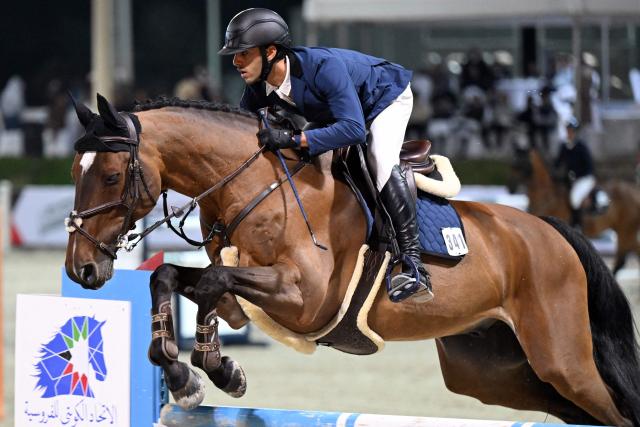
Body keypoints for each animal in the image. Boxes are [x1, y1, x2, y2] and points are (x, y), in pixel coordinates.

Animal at [512, 145, 640, 276]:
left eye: (523, 160)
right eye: (515, 157)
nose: (514, 185)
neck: (548, 196)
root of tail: (634, 191)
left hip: (625, 231)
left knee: (623, 259)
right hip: (626, 232)